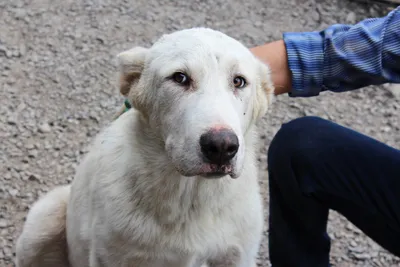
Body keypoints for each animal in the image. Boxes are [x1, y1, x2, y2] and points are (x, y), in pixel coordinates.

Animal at [15, 27, 274, 267]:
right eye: (180, 78)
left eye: (238, 81)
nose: (221, 146)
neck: (190, 198)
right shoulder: (110, 257)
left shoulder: (238, 256)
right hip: (42, 222)